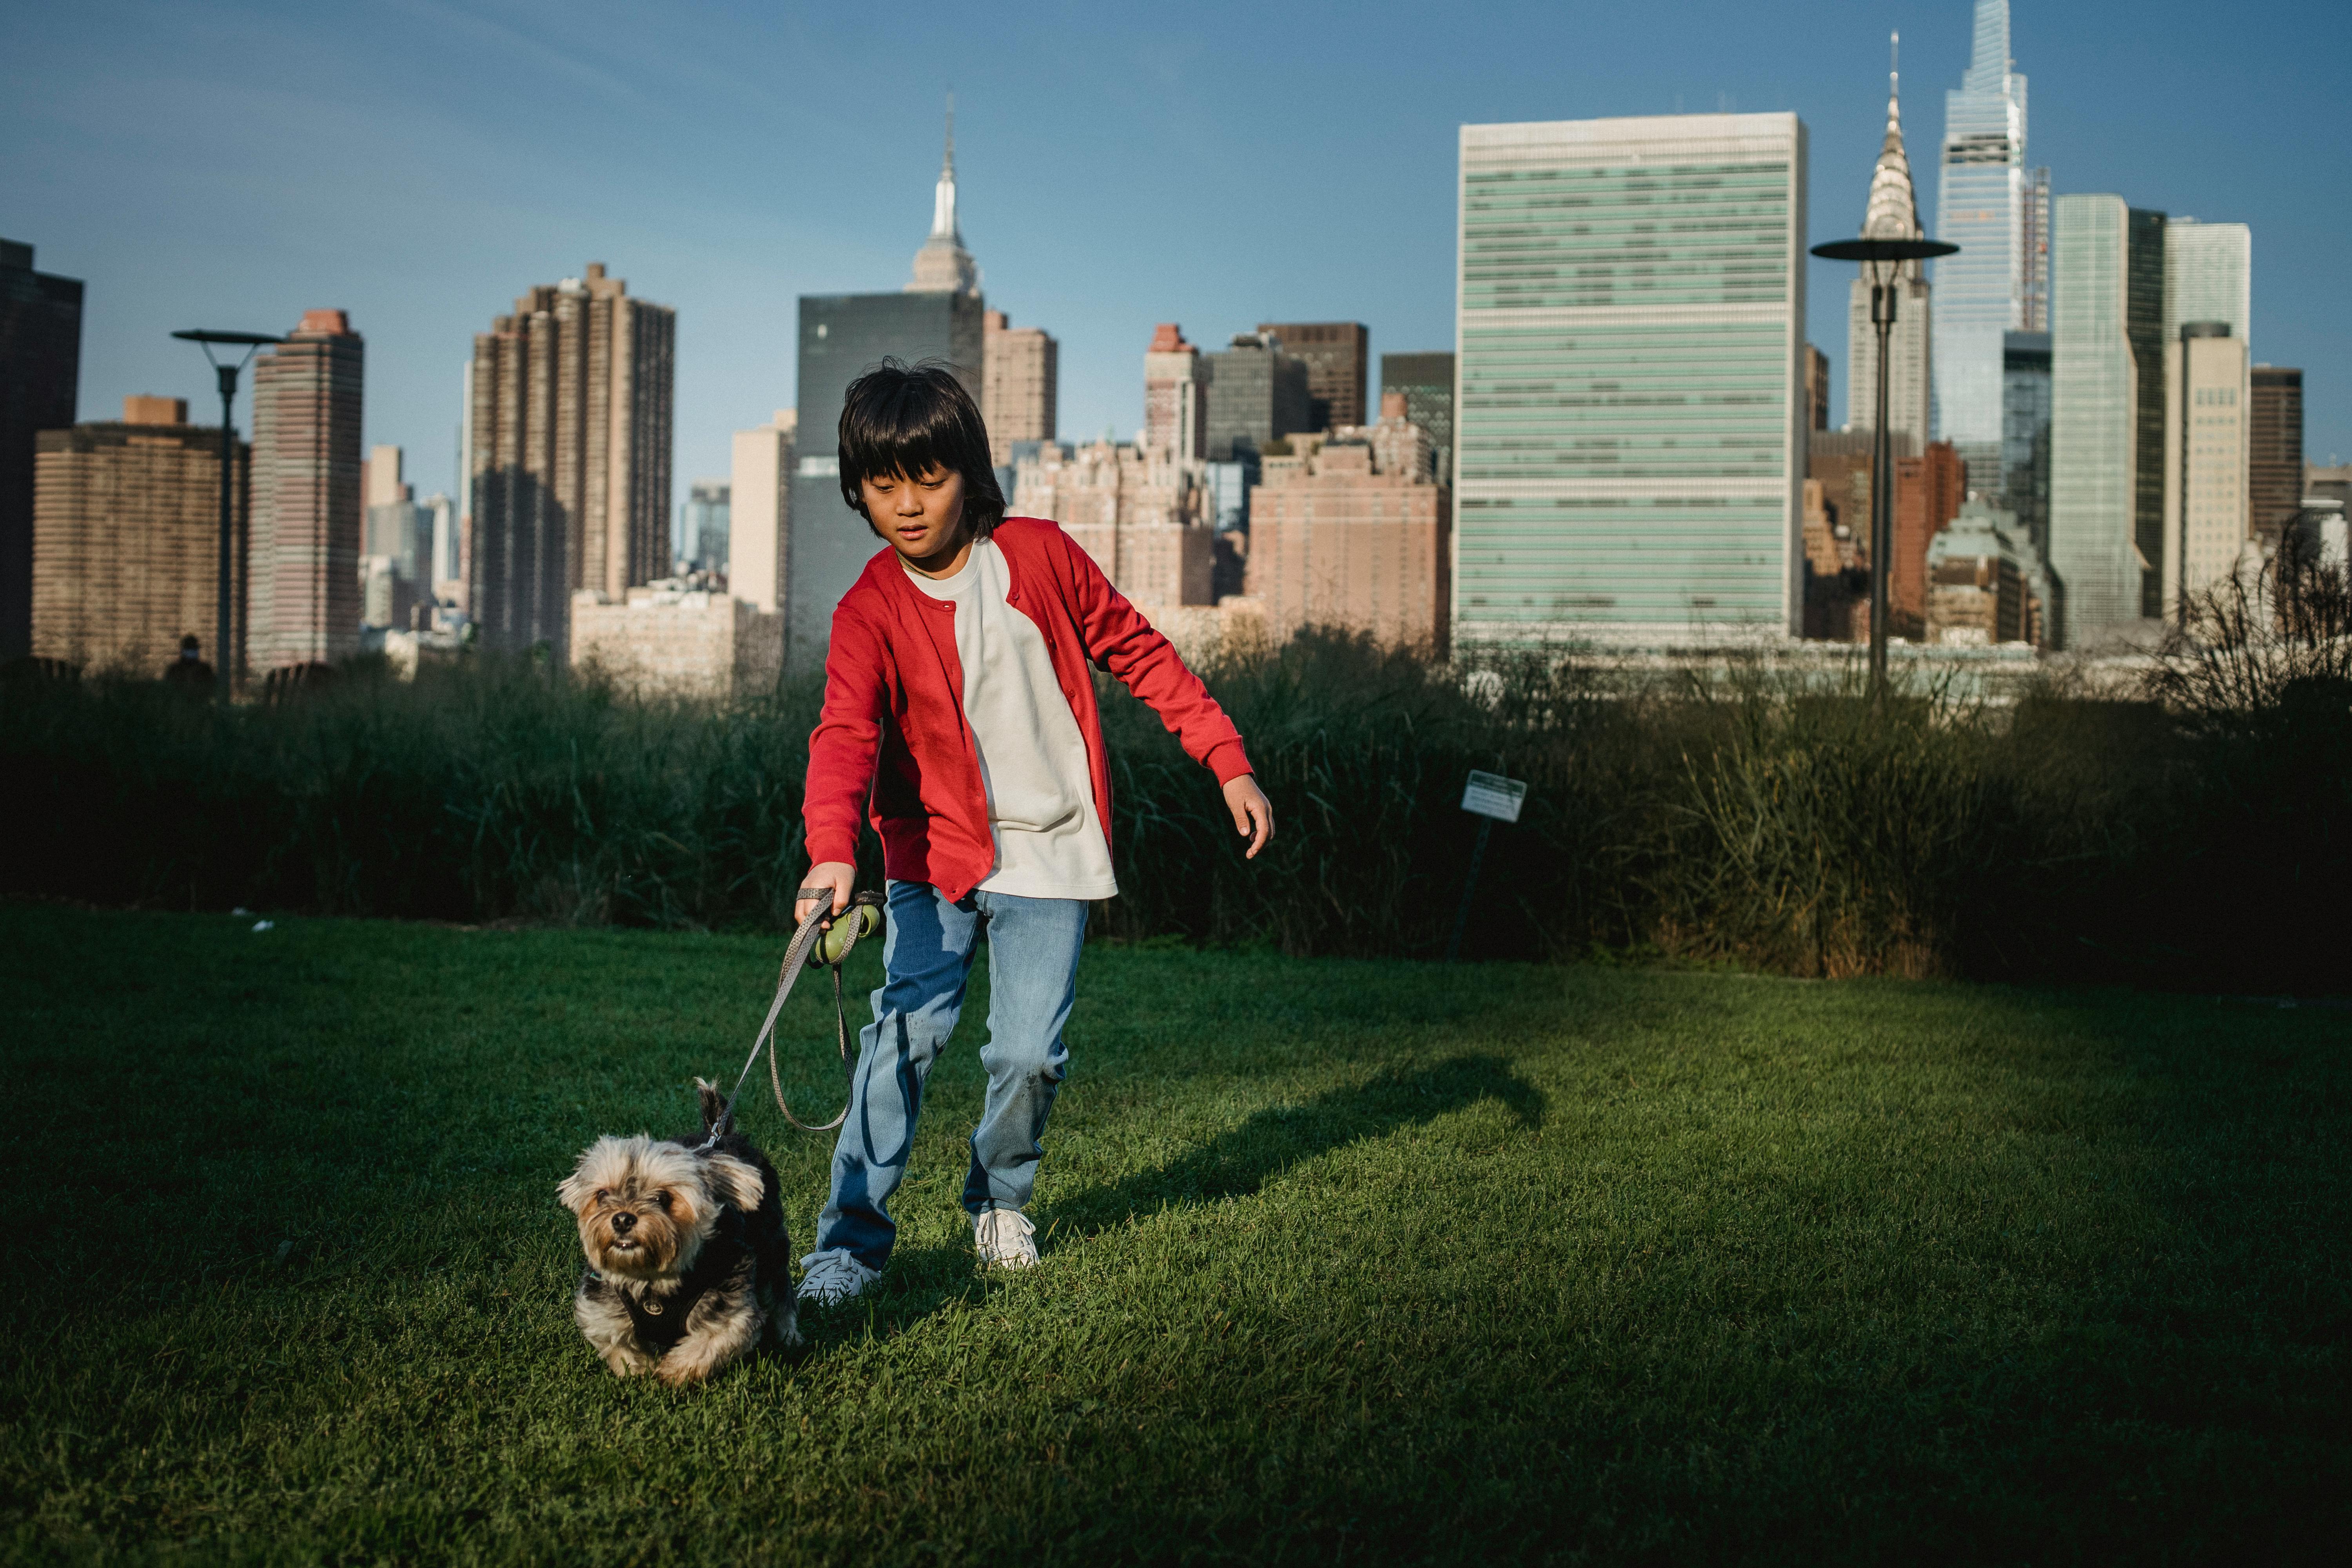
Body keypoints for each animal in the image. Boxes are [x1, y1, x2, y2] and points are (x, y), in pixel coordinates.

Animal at [560, 1081, 800, 1382]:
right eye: (602, 1195)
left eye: (663, 1199)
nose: (623, 1220)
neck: (652, 1280)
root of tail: (720, 1135)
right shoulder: (601, 1310)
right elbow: (620, 1346)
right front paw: (641, 1372)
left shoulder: (730, 1312)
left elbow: (706, 1344)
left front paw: (671, 1373)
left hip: (772, 1248)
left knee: (780, 1296)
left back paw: (789, 1338)